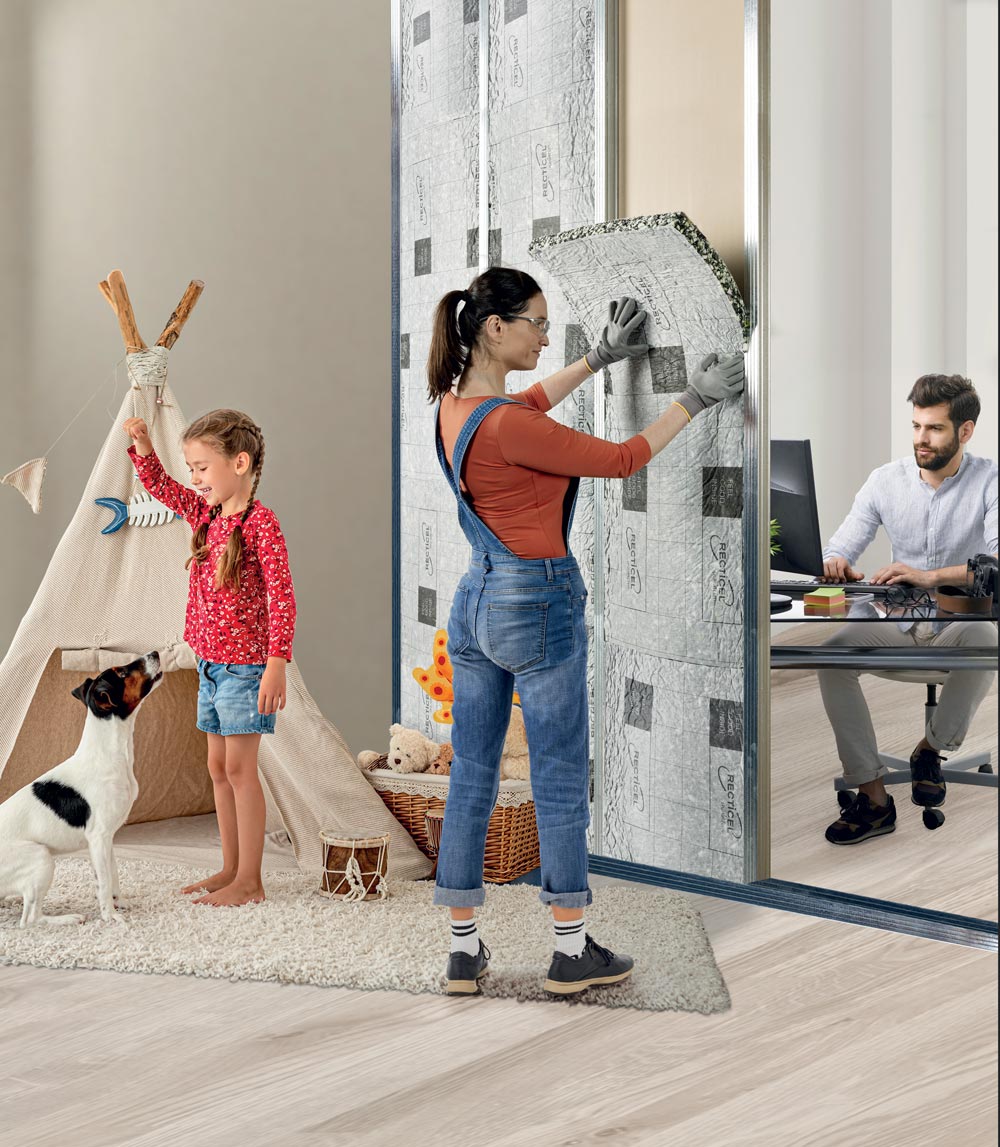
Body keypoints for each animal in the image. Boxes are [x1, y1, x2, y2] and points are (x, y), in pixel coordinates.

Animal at [0, 651, 161, 926]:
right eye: (122, 673)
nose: (154, 653)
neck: (109, 754)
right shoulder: (98, 837)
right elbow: (104, 882)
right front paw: (110, 916)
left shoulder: (108, 840)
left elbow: (113, 875)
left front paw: (119, 903)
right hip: (41, 858)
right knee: (30, 919)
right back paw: (68, 918)